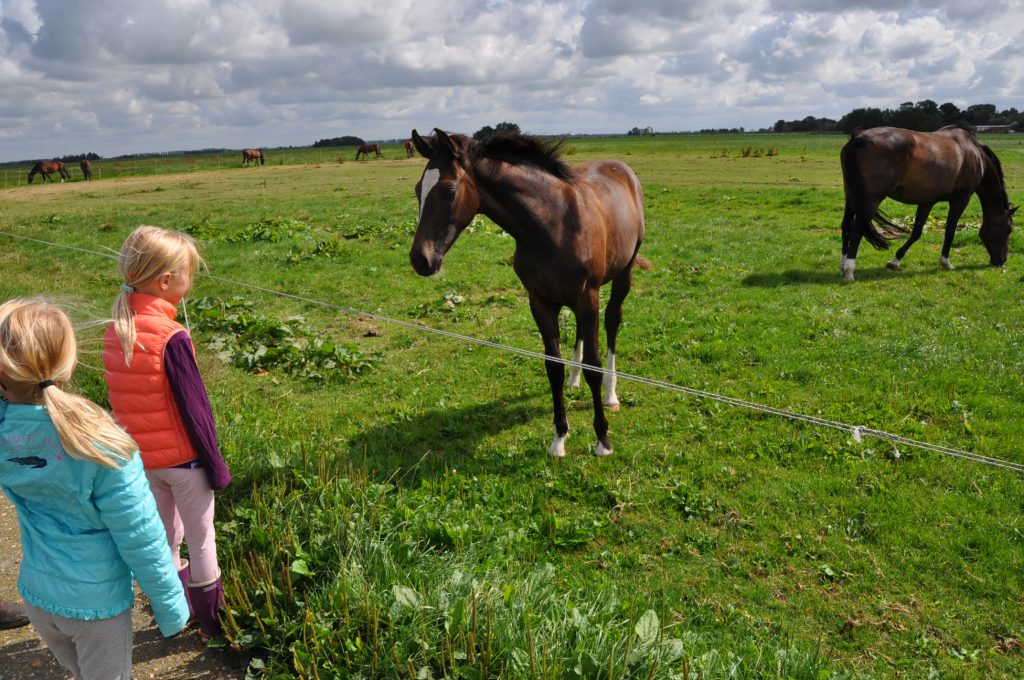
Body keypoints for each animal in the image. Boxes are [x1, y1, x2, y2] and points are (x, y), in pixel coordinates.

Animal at [409, 128, 648, 458]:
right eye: (418, 189)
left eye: (449, 190)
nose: (421, 260)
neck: (553, 227)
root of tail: (622, 170)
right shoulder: (541, 303)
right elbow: (553, 366)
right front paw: (558, 439)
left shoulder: (588, 298)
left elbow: (594, 367)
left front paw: (602, 440)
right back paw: (574, 381)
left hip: (622, 277)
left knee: (612, 323)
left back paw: (612, 395)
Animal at [839, 124, 1016, 281]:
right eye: (1008, 230)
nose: (1001, 260)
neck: (974, 154)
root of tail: (857, 138)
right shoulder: (961, 199)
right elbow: (950, 231)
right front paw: (946, 262)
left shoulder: (927, 201)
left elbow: (916, 232)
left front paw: (895, 261)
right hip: (870, 201)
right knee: (856, 230)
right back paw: (849, 271)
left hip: (852, 198)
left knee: (846, 226)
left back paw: (842, 264)